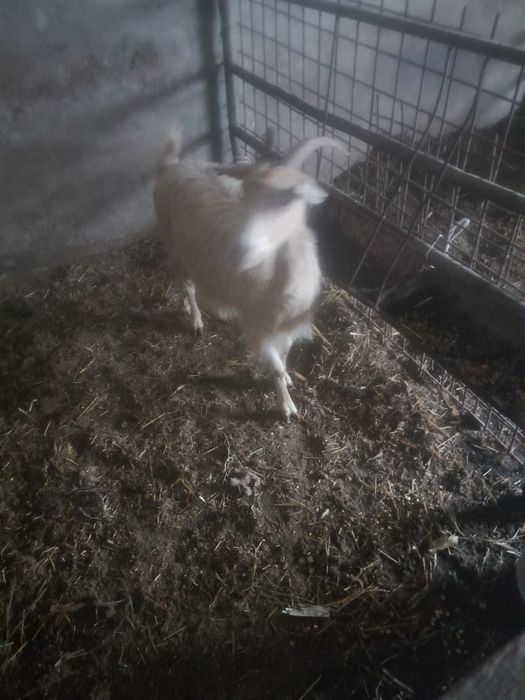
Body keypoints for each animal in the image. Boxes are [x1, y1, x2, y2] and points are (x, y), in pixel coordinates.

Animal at [153, 129, 348, 419]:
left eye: (284, 202)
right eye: (245, 194)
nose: (240, 248)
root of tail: (173, 164)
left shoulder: (286, 327)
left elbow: (286, 355)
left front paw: (288, 378)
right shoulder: (259, 329)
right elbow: (276, 367)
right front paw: (287, 407)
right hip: (173, 245)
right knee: (188, 287)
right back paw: (196, 321)